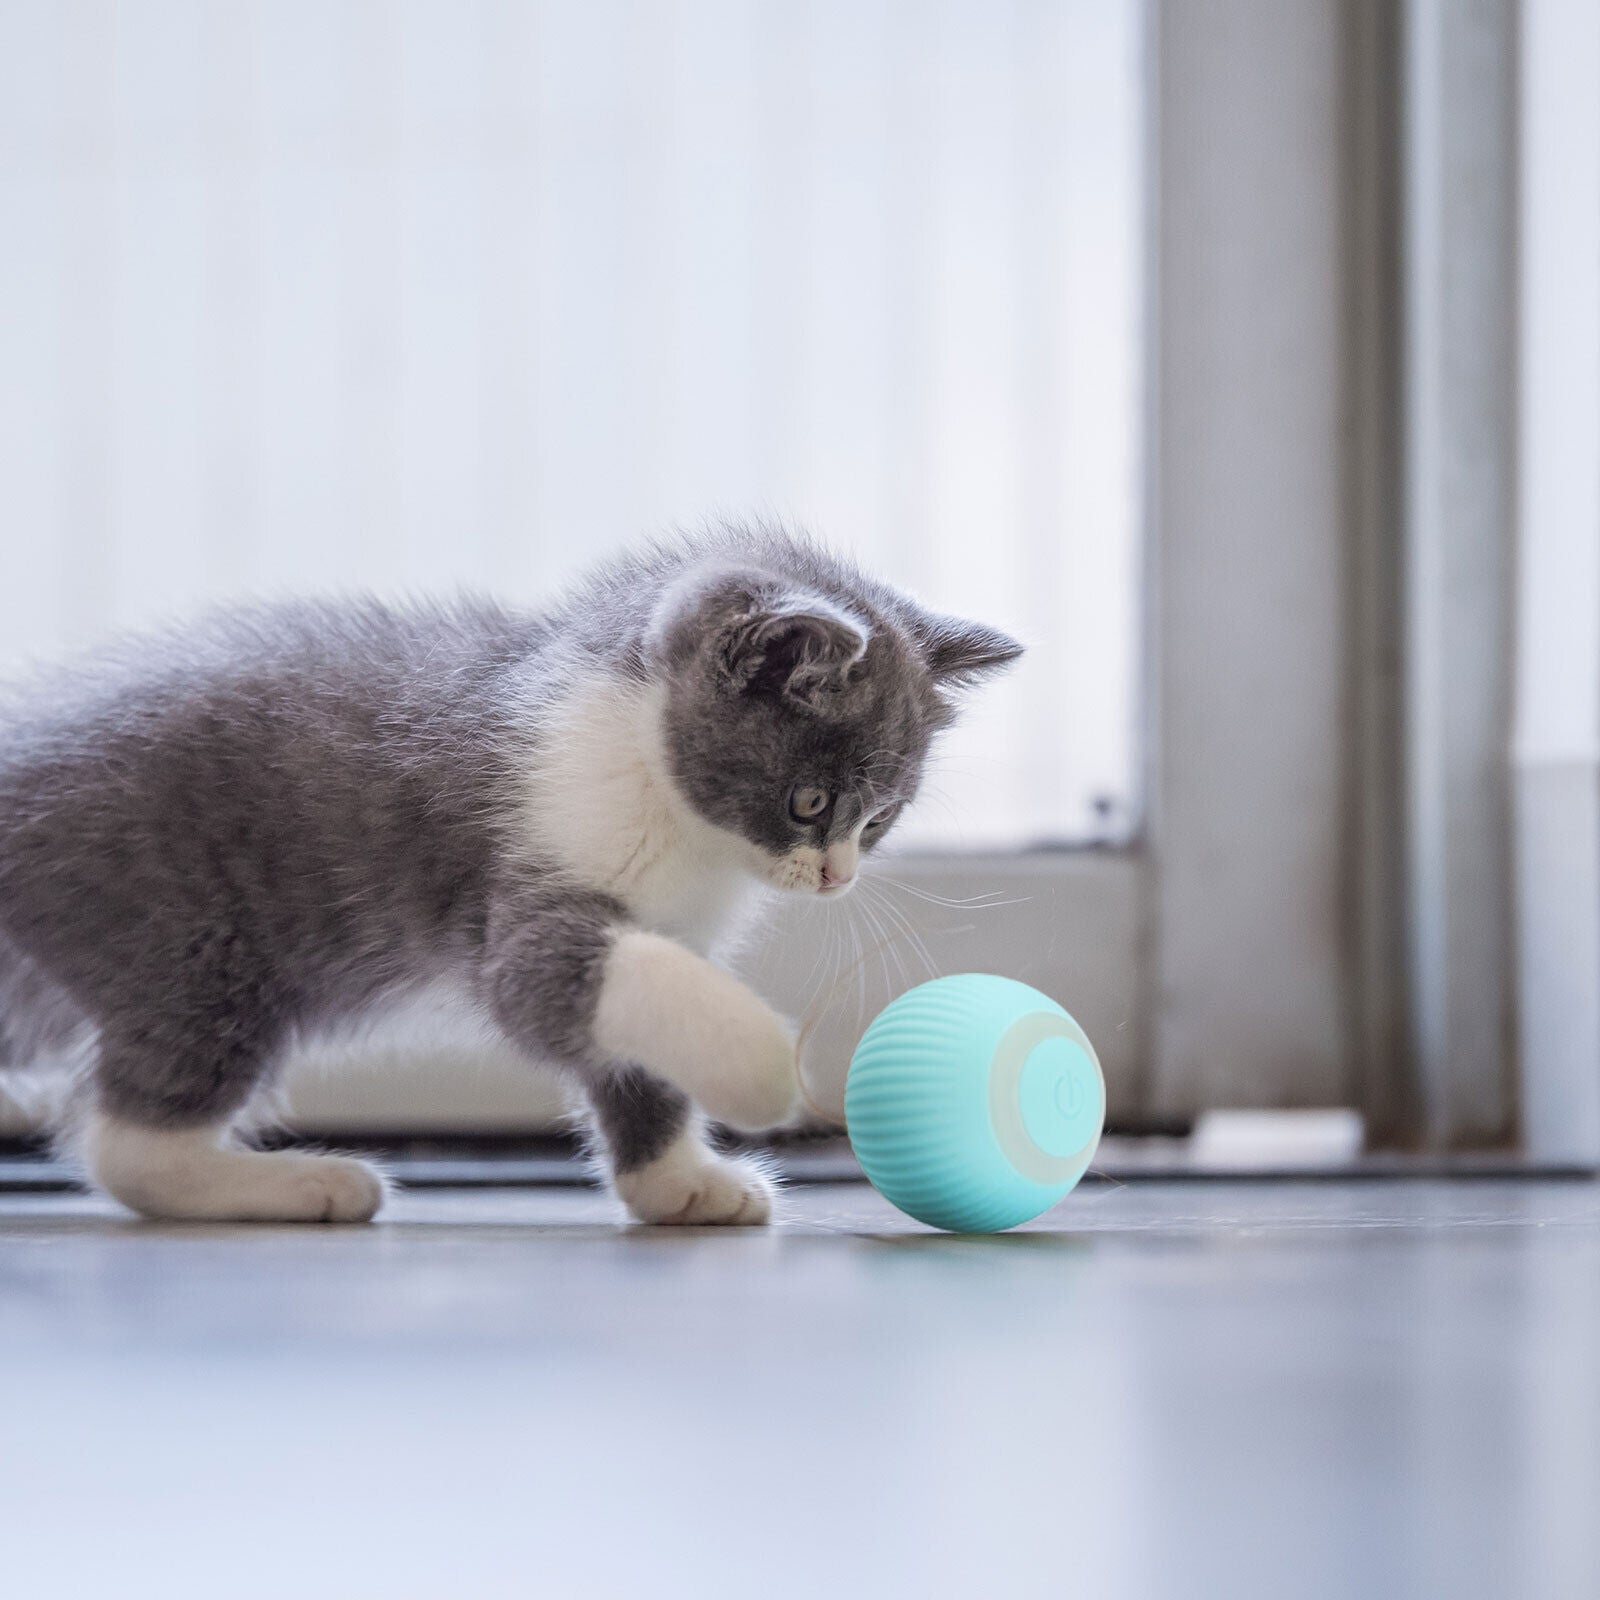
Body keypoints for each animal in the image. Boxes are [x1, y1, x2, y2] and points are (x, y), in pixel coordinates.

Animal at [0, 524, 1017, 1222]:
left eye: (880, 818)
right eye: (810, 802)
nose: (836, 878)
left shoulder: (663, 928)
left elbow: (635, 1049)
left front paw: (677, 1182)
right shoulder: (526, 895)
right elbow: (557, 987)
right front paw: (764, 1069)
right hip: (191, 941)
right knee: (128, 1142)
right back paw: (298, 1184)